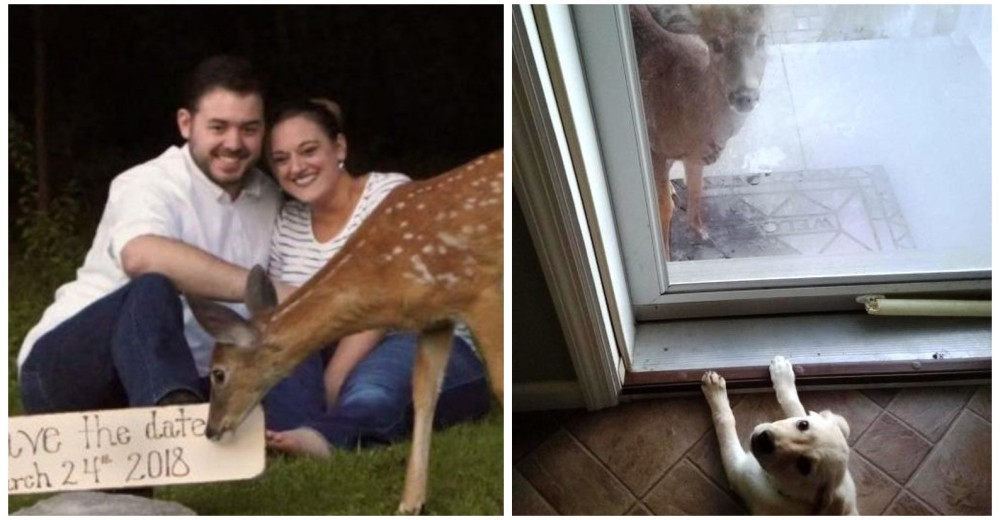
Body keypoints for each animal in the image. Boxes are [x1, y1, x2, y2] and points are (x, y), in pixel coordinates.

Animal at [187, 148, 504, 512]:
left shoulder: (478, 290)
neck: (384, 277)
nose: (210, 430)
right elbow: (424, 396)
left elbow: (500, 383)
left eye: (218, 373)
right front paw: (410, 504)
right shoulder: (435, 319)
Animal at [632, 4, 764, 256]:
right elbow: (663, 206)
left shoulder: (693, 156)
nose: (745, 96)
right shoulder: (654, 146)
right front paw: (666, 255)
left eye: (761, 40)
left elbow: (696, 188)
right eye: (716, 45)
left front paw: (700, 232)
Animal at [704, 356, 860, 512]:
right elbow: (793, 403)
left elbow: (725, 420)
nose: (765, 439)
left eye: (804, 466)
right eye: (803, 424)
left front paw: (715, 392)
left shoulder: (738, 471)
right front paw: (782, 372)